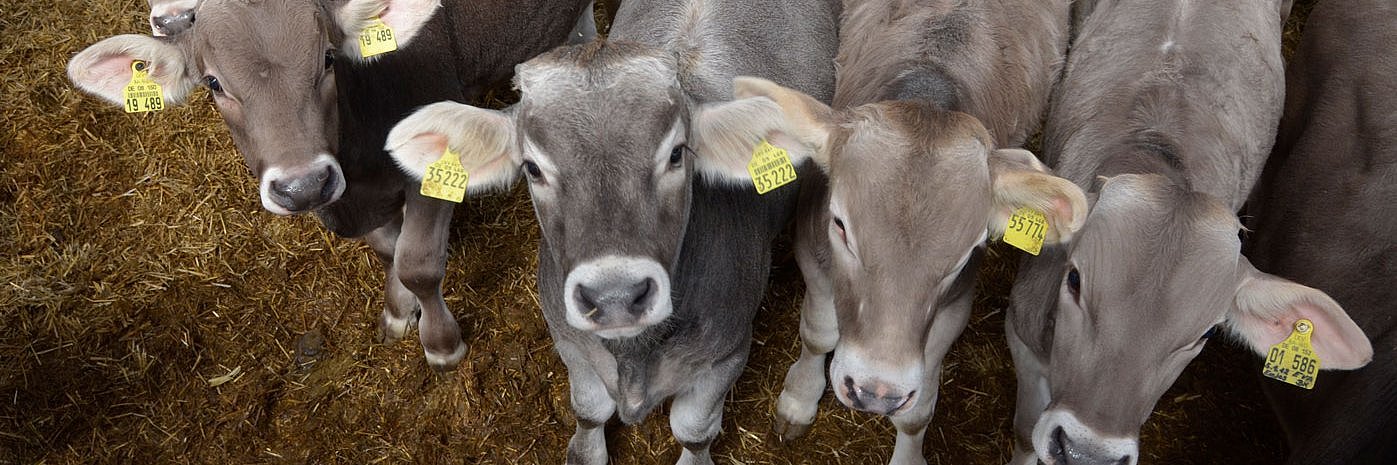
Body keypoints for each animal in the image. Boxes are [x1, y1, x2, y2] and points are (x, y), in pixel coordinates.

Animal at [68, 0, 592, 368]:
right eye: (214, 83)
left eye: (326, 59)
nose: (302, 185)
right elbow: (388, 252)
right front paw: (397, 312)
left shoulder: (434, 163)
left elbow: (418, 264)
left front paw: (442, 345)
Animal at [388, 0, 832, 460]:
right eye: (532, 167)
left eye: (677, 153)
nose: (614, 297)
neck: (633, 354)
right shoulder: (570, 344)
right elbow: (589, 410)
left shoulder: (727, 355)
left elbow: (694, 430)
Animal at [743, 1, 1067, 460]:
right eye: (840, 225)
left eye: (967, 253)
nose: (875, 391)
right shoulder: (813, 256)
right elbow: (817, 335)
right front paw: (797, 401)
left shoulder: (955, 305)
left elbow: (917, 411)